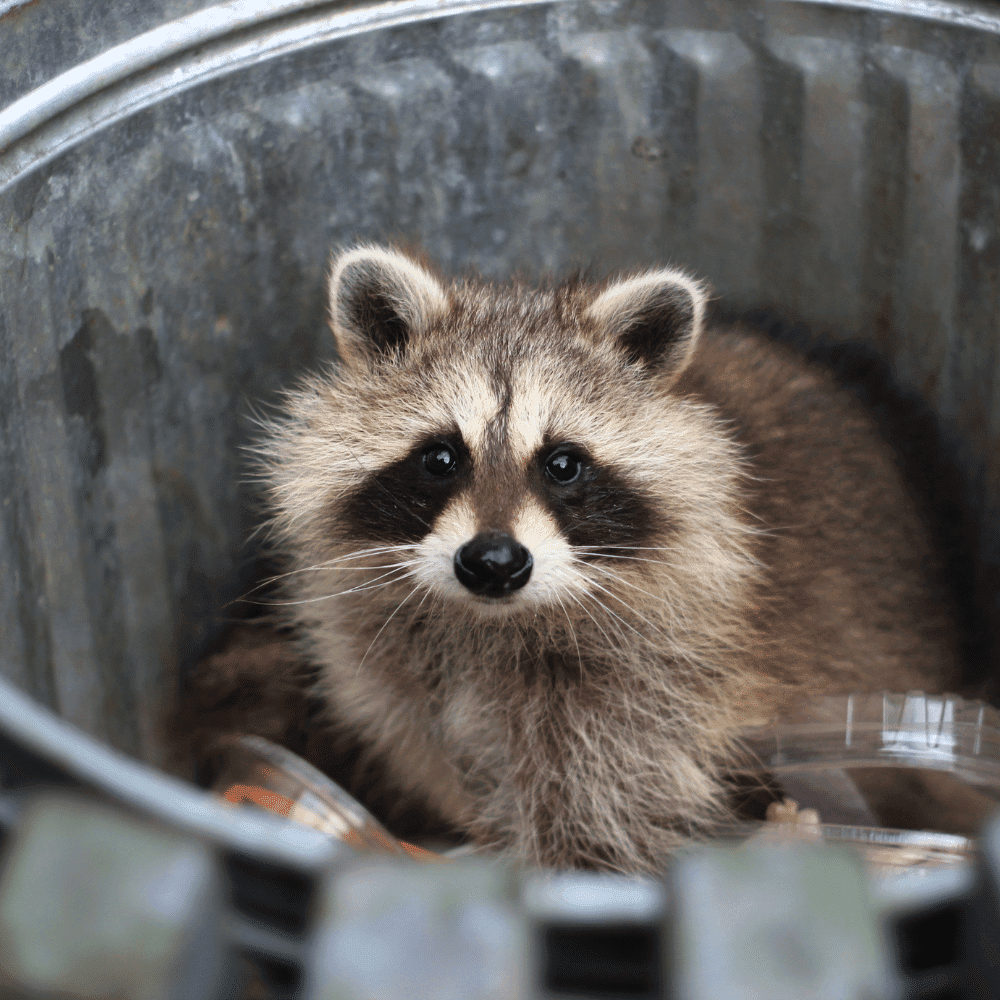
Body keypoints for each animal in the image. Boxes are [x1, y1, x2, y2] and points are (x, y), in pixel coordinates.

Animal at [256, 245, 958, 872]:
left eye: (563, 464)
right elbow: (427, 743)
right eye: (440, 457)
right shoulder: (388, 664)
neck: (493, 625)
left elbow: (599, 813)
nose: (493, 562)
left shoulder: (659, 682)